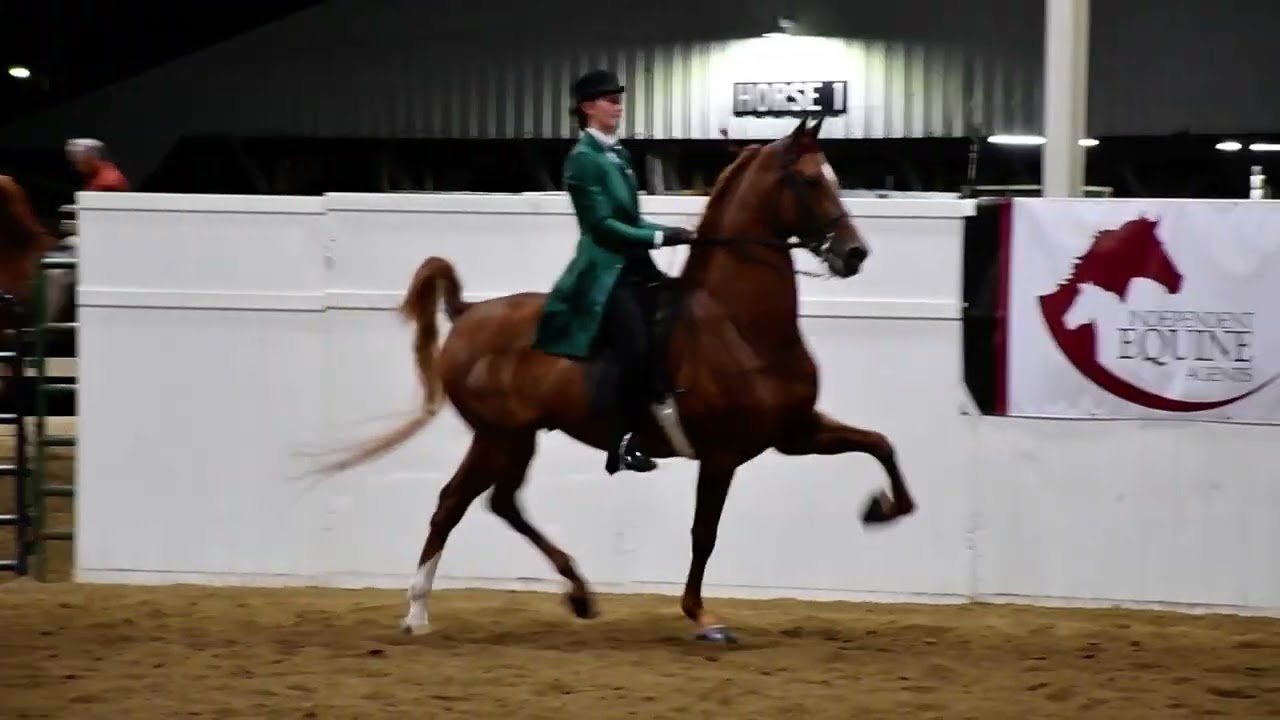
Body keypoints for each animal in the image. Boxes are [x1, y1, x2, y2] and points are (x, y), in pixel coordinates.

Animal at [316, 115, 917, 644]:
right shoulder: (722, 454)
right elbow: (704, 534)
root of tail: (467, 315)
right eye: (810, 180)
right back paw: (418, 613)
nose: (854, 254)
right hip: (500, 436)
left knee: (495, 503)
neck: (737, 323)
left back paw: (575, 594)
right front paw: (702, 617)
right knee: (456, 504)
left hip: (514, 438)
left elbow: (881, 445)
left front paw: (881, 509)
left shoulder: (794, 433)